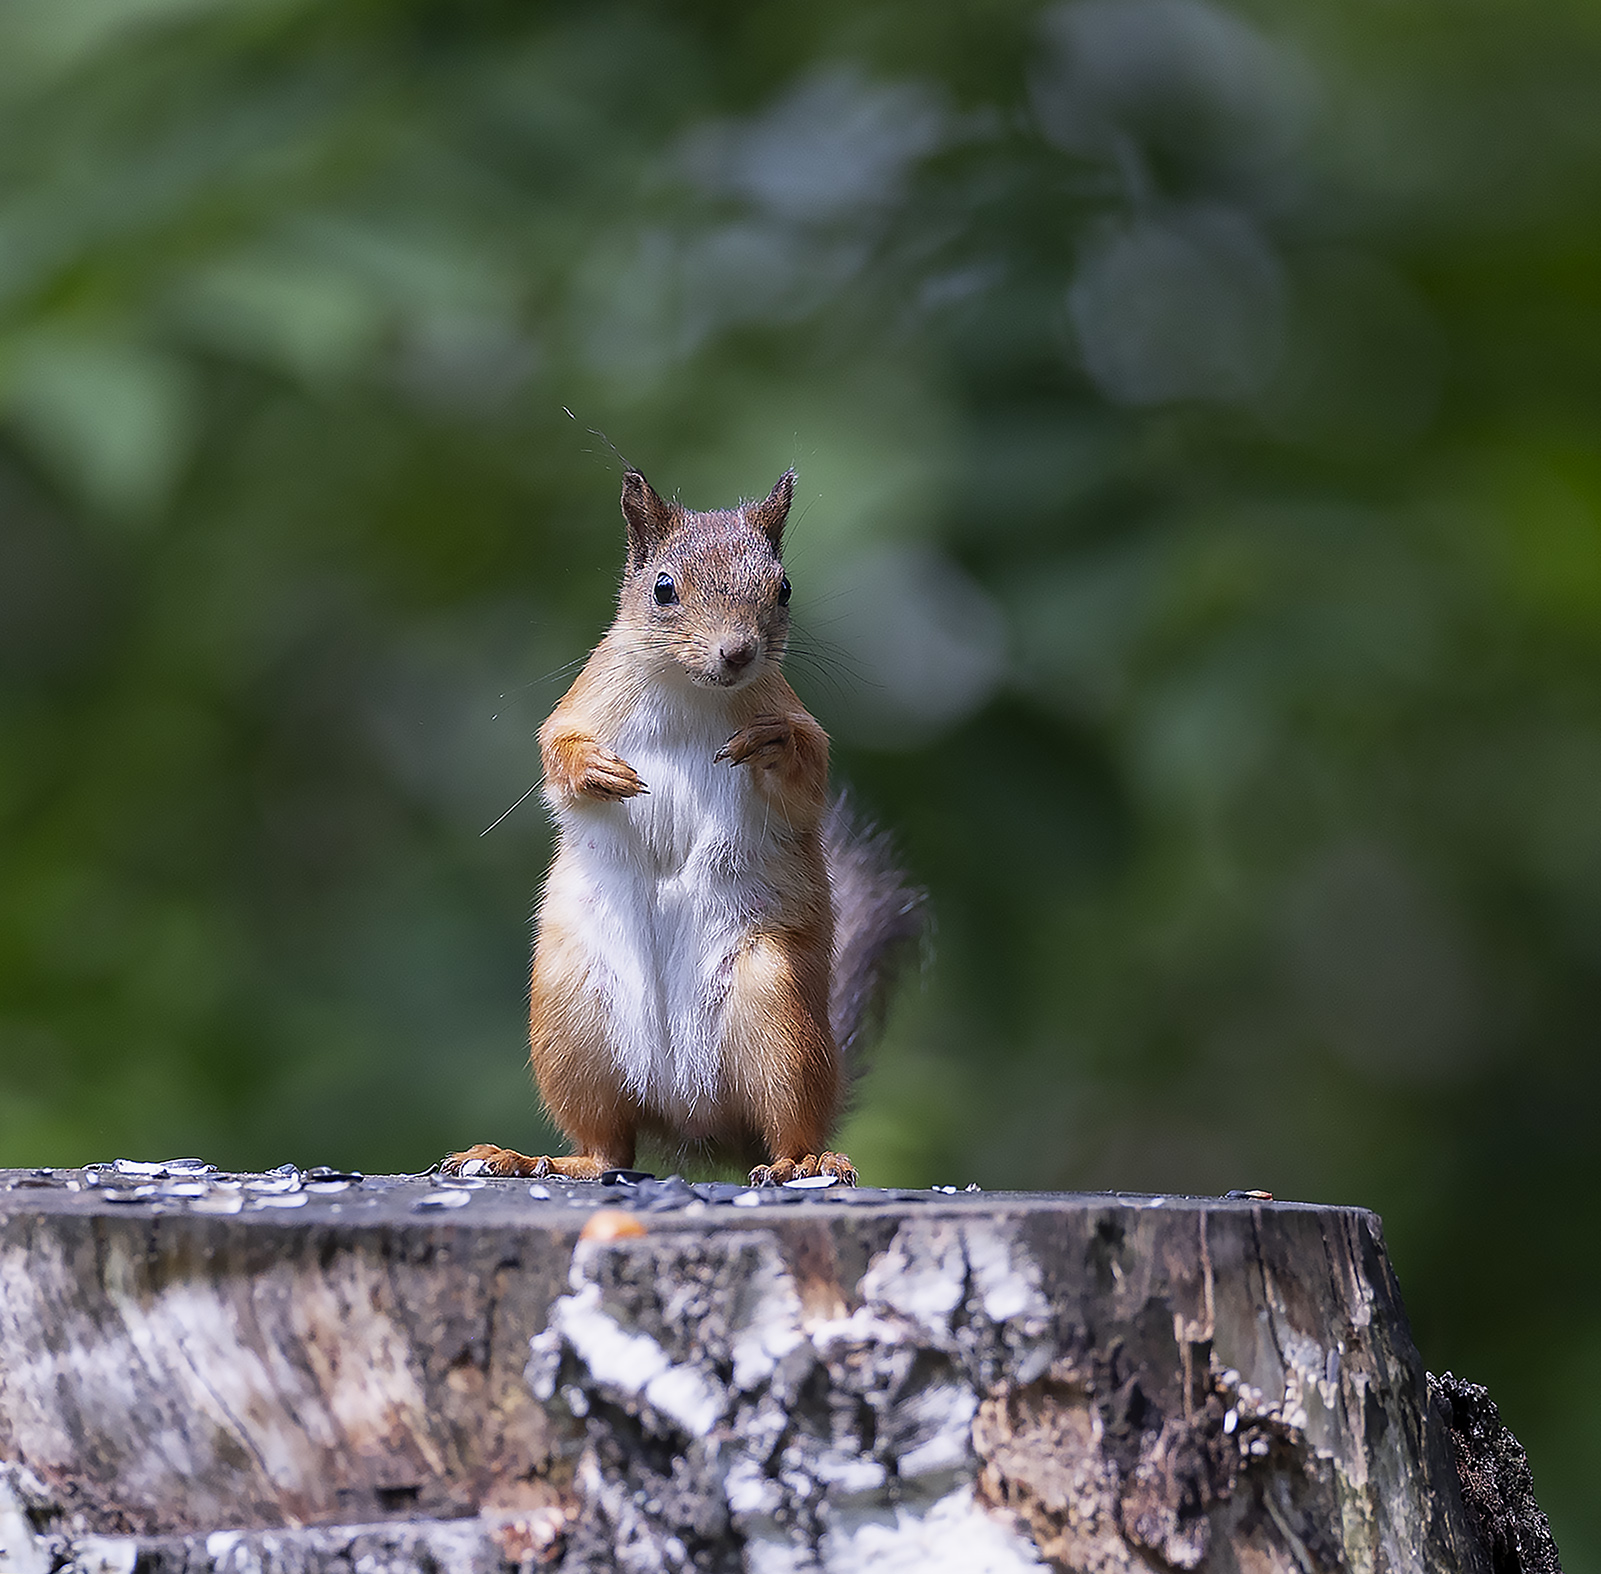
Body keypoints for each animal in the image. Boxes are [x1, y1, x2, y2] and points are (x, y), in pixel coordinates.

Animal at [442, 467, 924, 1187]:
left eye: (783, 586)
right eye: (663, 588)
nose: (738, 652)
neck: (689, 690)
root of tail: (692, 1117)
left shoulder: (796, 721)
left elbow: (805, 771)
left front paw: (772, 743)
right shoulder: (581, 702)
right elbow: (556, 754)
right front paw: (596, 770)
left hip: (778, 1013)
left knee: (787, 1126)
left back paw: (805, 1161)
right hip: (571, 1017)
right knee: (607, 1147)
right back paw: (528, 1159)